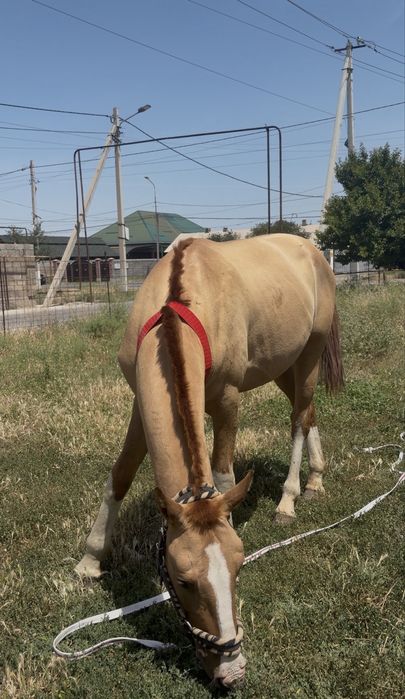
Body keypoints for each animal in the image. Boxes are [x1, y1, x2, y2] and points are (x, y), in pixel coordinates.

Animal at [75, 234, 343, 688]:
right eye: (182, 581)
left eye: (238, 569)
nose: (231, 669)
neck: (177, 306)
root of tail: (310, 249)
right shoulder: (140, 403)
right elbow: (121, 475)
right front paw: (91, 561)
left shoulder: (226, 401)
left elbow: (221, 476)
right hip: (282, 365)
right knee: (308, 415)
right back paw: (315, 481)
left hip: (310, 352)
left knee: (298, 418)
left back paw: (289, 499)